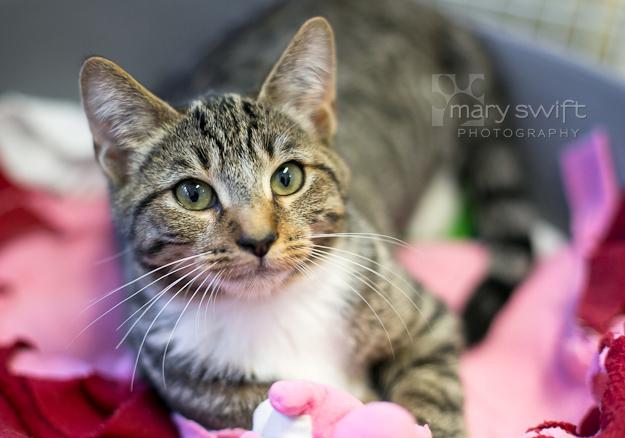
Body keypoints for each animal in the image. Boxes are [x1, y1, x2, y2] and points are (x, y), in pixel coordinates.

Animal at [79, 1, 532, 436]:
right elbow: (242, 408)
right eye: (193, 194)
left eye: (287, 177)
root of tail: (433, 13)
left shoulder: (427, 320)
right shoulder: (181, 379)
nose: (259, 239)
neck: (277, 308)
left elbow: (433, 387)